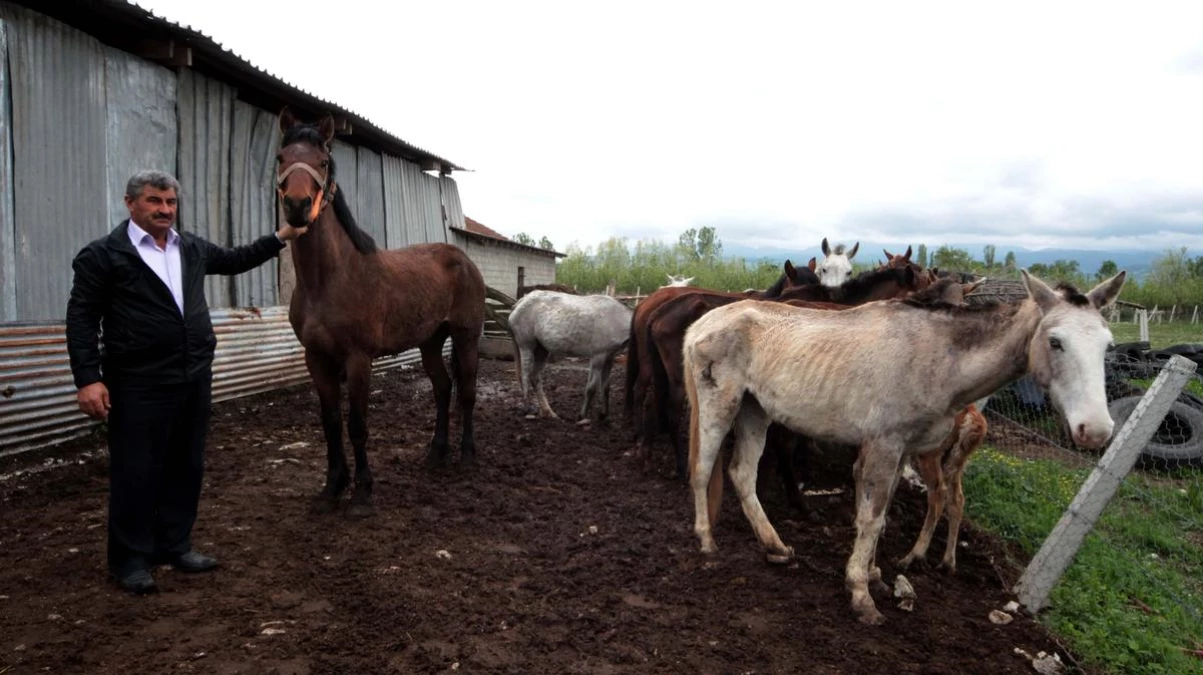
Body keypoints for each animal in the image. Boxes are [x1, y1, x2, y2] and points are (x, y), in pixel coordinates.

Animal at [276, 107, 488, 512]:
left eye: (323, 161)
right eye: (281, 157)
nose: (297, 206)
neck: (329, 279)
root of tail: (464, 260)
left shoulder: (359, 359)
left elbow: (357, 424)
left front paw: (362, 491)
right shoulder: (317, 358)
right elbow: (330, 423)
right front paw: (332, 487)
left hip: (466, 337)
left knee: (467, 391)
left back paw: (468, 455)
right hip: (430, 342)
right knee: (442, 388)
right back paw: (436, 454)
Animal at [505, 291, 635, 425]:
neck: (615, 318)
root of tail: (520, 302)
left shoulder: (608, 359)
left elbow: (606, 387)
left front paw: (605, 416)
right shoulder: (598, 357)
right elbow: (591, 388)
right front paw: (582, 416)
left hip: (542, 350)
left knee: (535, 378)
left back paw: (549, 413)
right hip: (527, 346)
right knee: (525, 376)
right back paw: (528, 409)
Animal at [688, 267, 1126, 620]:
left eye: (1108, 344)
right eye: (1055, 342)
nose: (1096, 430)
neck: (941, 361)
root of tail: (702, 324)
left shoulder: (902, 452)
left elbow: (880, 520)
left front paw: (875, 575)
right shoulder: (884, 445)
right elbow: (871, 517)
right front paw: (861, 594)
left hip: (754, 410)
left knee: (742, 474)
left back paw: (775, 544)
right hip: (721, 404)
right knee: (703, 469)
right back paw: (707, 543)